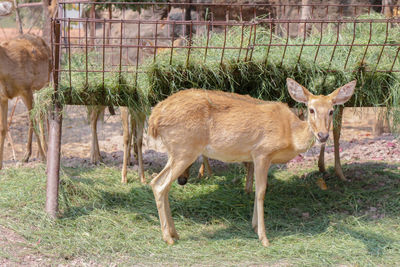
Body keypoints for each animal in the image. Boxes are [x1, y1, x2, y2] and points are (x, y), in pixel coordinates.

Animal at [0, 34, 50, 171]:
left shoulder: (26, 88)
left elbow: (33, 120)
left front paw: (43, 158)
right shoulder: (3, 97)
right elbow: (2, 128)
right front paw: (0, 165)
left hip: (44, 84)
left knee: (41, 114)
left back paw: (44, 151)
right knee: (38, 114)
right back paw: (28, 154)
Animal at [147, 79, 356, 247]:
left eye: (331, 111)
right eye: (311, 109)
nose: (323, 135)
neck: (290, 134)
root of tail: (154, 118)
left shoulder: (259, 158)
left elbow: (257, 189)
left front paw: (254, 226)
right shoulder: (262, 152)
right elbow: (261, 191)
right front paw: (264, 237)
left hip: (176, 152)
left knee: (160, 184)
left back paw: (175, 233)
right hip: (185, 149)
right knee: (159, 184)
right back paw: (168, 238)